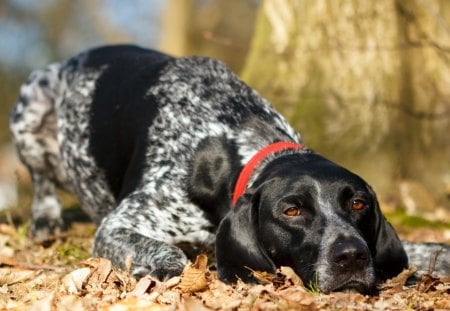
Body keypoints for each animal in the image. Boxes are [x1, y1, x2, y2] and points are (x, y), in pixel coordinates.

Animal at [7, 44, 446, 294]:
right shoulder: (117, 226)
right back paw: (45, 219)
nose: (352, 256)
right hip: (31, 101)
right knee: (42, 181)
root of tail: (75, 58)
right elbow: (171, 255)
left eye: (357, 204)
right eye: (291, 211)